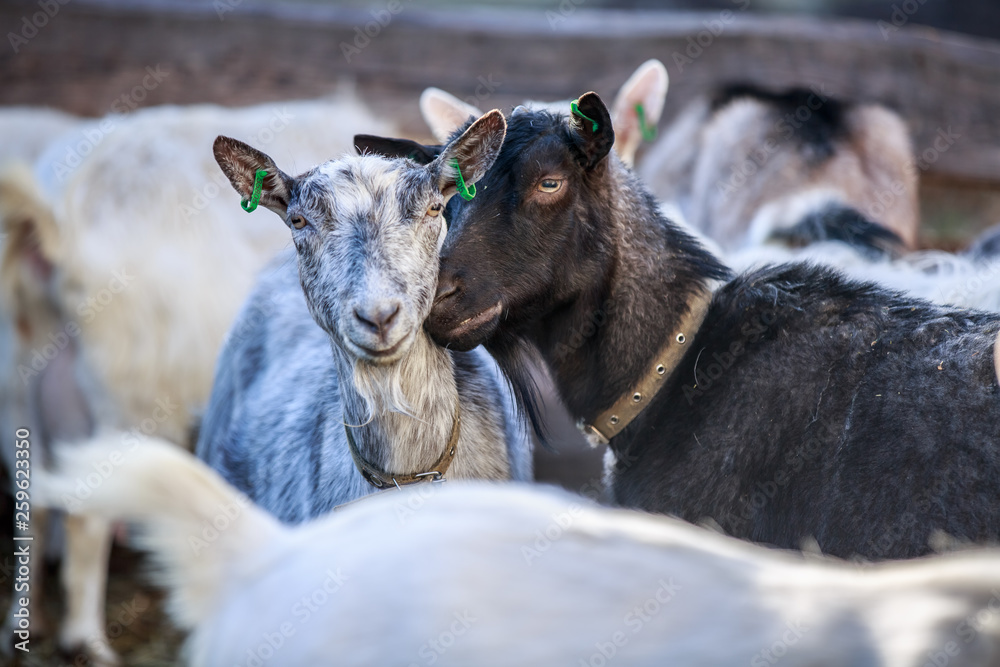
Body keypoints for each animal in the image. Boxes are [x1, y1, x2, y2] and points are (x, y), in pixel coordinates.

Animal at [0, 93, 395, 665]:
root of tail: (56, 215)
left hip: (21, 381)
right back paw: (87, 641)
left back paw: (20, 627)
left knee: (31, 503)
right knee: (84, 514)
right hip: (130, 392)